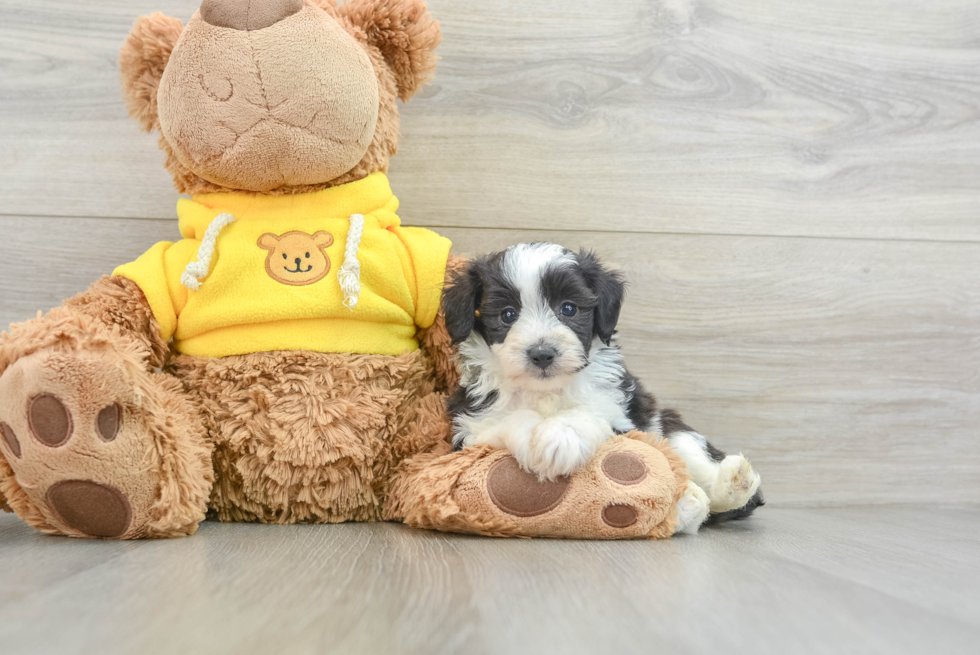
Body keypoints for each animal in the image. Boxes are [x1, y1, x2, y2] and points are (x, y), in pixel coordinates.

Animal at [444, 243, 764, 532]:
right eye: (507, 314)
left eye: (569, 308)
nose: (542, 353)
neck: (546, 391)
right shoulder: (468, 429)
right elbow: (508, 419)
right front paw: (534, 437)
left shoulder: (621, 416)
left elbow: (587, 415)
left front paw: (562, 438)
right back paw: (689, 502)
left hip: (668, 426)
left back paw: (731, 483)